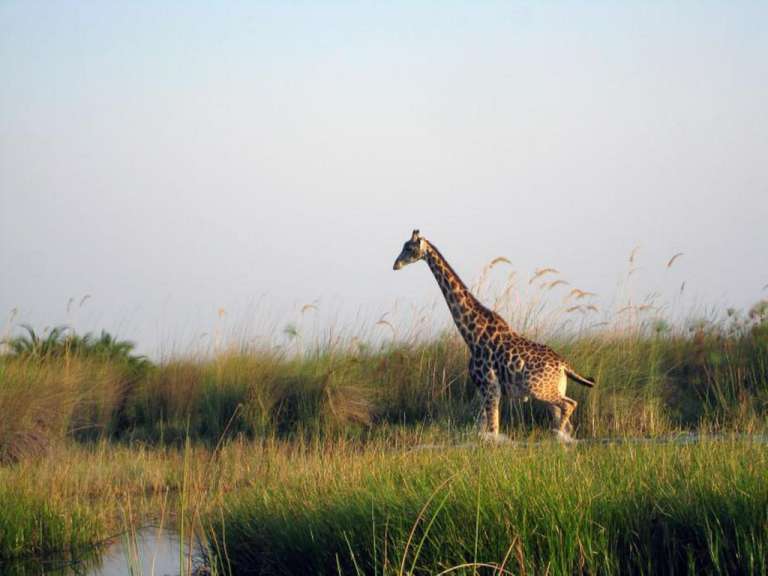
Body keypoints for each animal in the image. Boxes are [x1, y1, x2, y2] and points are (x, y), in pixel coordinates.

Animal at [393, 230, 595, 440]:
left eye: (409, 248)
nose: (395, 265)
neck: (472, 335)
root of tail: (564, 365)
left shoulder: (490, 388)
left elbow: (493, 430)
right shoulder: (484, 390)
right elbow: (483, 429)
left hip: (540, 390)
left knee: (570, 405)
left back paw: (555, 435)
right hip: (554, 389)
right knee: (567, 421)